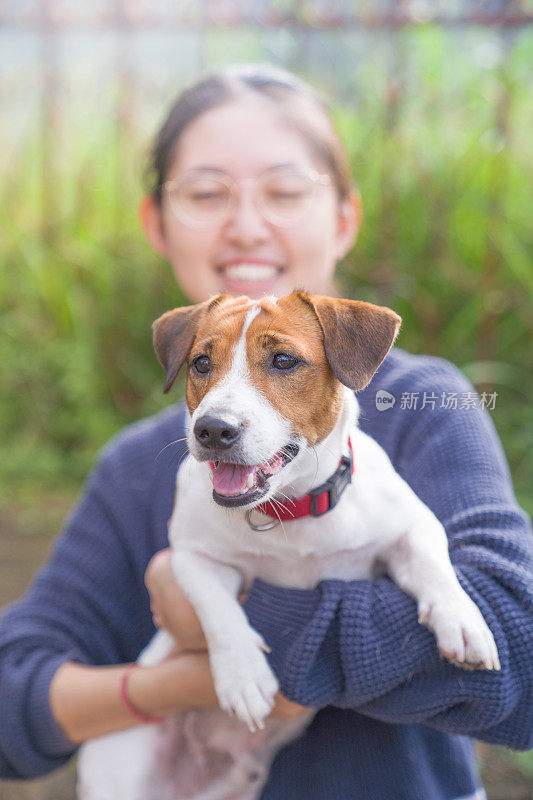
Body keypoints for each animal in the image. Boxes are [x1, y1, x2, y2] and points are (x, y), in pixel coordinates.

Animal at [78, 292, 498, 800]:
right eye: (201, 363)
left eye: (283, 361)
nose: (212, 429)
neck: (290, 511)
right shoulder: (190, 557)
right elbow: (218, 610)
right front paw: (243, 675)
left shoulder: (410, 527)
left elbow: (434, 562)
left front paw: (462, 620)